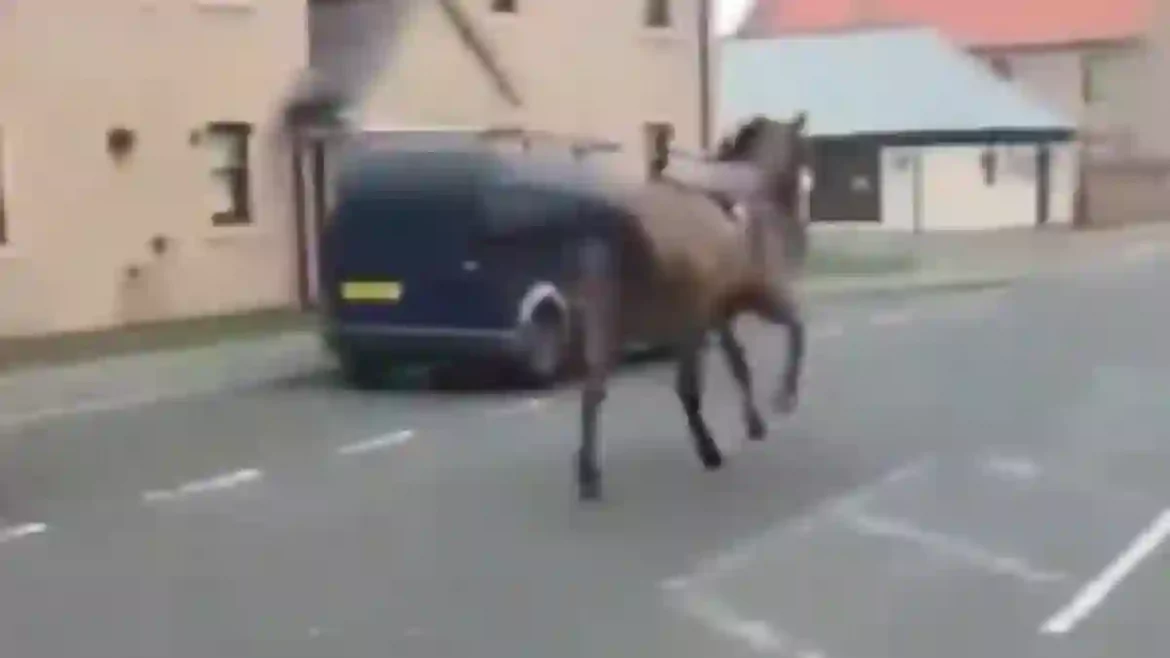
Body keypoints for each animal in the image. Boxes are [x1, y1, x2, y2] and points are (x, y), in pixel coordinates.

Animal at [570, 112, 809, 498]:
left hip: (607, 324)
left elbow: (739, 364)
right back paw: (708, 451)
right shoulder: (760, 297)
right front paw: (784, 396)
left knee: (593, 391)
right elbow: (796, 330)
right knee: (685, 388)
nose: (801, 224)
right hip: (684, 324)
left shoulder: (719, 315)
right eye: (804, 153)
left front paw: (755, 422)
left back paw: (589, 475)